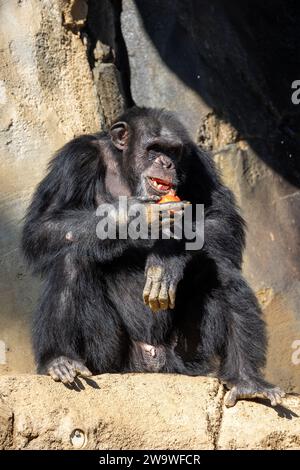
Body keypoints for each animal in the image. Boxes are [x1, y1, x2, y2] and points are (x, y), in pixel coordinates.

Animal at [22, 104, 284, 406]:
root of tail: (152, 363)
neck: (125, 172)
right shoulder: (76, 159)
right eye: (154, 148)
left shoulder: (199, 164)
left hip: (188, 357)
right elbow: (44, 225)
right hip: (111, 357)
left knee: (220, 271)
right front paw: (133, 218)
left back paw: (246, 380)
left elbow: (220, 217)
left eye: (173, 151)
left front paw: (168, 259)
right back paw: (60, 358)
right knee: (73, 259)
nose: (166, 164)